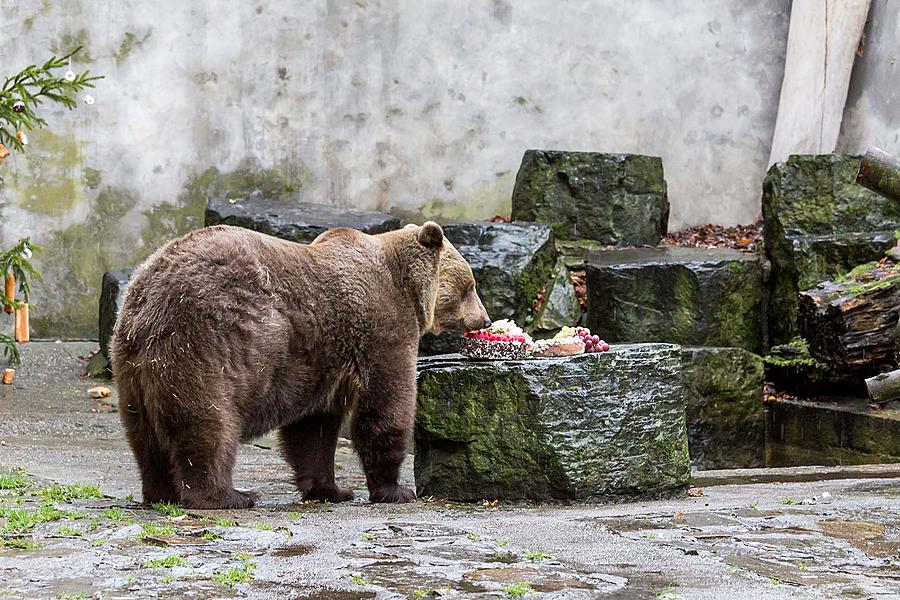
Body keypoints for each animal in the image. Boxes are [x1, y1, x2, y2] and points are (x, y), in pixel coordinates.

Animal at [114, 223, 492, 508]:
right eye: (470, 284)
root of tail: (149, 297)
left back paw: (160, 492)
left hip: (133, 366)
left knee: (144, 435)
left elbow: (313, 430)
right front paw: (396, 489)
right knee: (208, 423)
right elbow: (385, 405)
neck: (407, 287)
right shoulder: (382, 327)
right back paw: (228, 495)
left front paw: (332, 489)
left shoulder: (322, 359)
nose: (486, 319)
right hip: (207, 341)